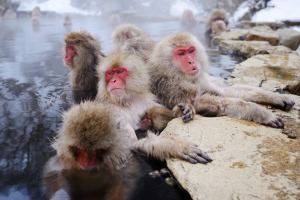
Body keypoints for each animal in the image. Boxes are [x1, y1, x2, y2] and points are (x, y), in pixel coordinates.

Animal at [43, 102, 210, 199]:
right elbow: (54, 180)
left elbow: (125, 180)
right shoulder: (59, 164)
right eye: (78, 149)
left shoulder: (123, 161)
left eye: (97, 150)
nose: (86, 161)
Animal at [149, 32, 294, 130]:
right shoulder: (170, 86)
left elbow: (226, 91)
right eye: (180, 54)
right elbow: (201, 103)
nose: (191, 61)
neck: (174, 73)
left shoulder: (201, 77)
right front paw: (260, 112)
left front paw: (277, 97)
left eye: (190, 51)